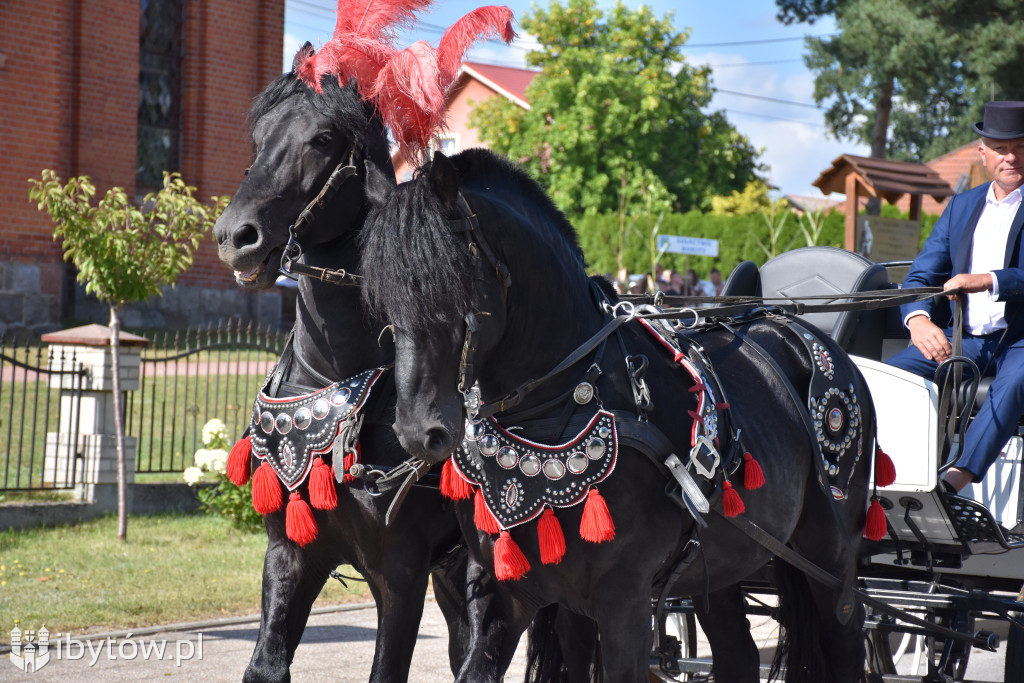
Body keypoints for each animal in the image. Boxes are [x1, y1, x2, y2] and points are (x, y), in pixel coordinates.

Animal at [212, 45, 524, 679]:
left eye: (323, 139)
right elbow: (266, 663)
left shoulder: (399, 576)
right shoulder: (289, 556)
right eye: (258, 138)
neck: (337, 383)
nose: (236, 237)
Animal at [360, 150, 880, 683]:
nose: (418, 430)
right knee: (738, 651)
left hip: (829, 555)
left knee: (845, 626)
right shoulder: (507, 594)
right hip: (723, 557)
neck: (556, 409)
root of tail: (794, 326)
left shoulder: (623, 602)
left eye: (450, 285)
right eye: (382, 300)